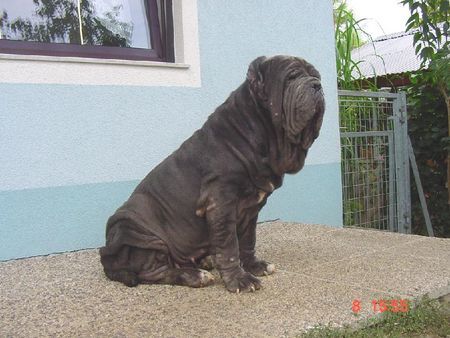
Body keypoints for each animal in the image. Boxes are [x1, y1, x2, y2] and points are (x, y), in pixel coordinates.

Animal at [99, 55, 324, 294]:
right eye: (291, 77)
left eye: (316, 76)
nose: (317, 85)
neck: (261, 132)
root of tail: (108, 260)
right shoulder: (220, 201)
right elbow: (229, 245)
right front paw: (239, 280)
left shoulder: (252, 209)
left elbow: (247, 241)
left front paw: (254, 266)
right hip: (135, 227)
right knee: (154, 271)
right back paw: (195, 275)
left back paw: (205, 261)